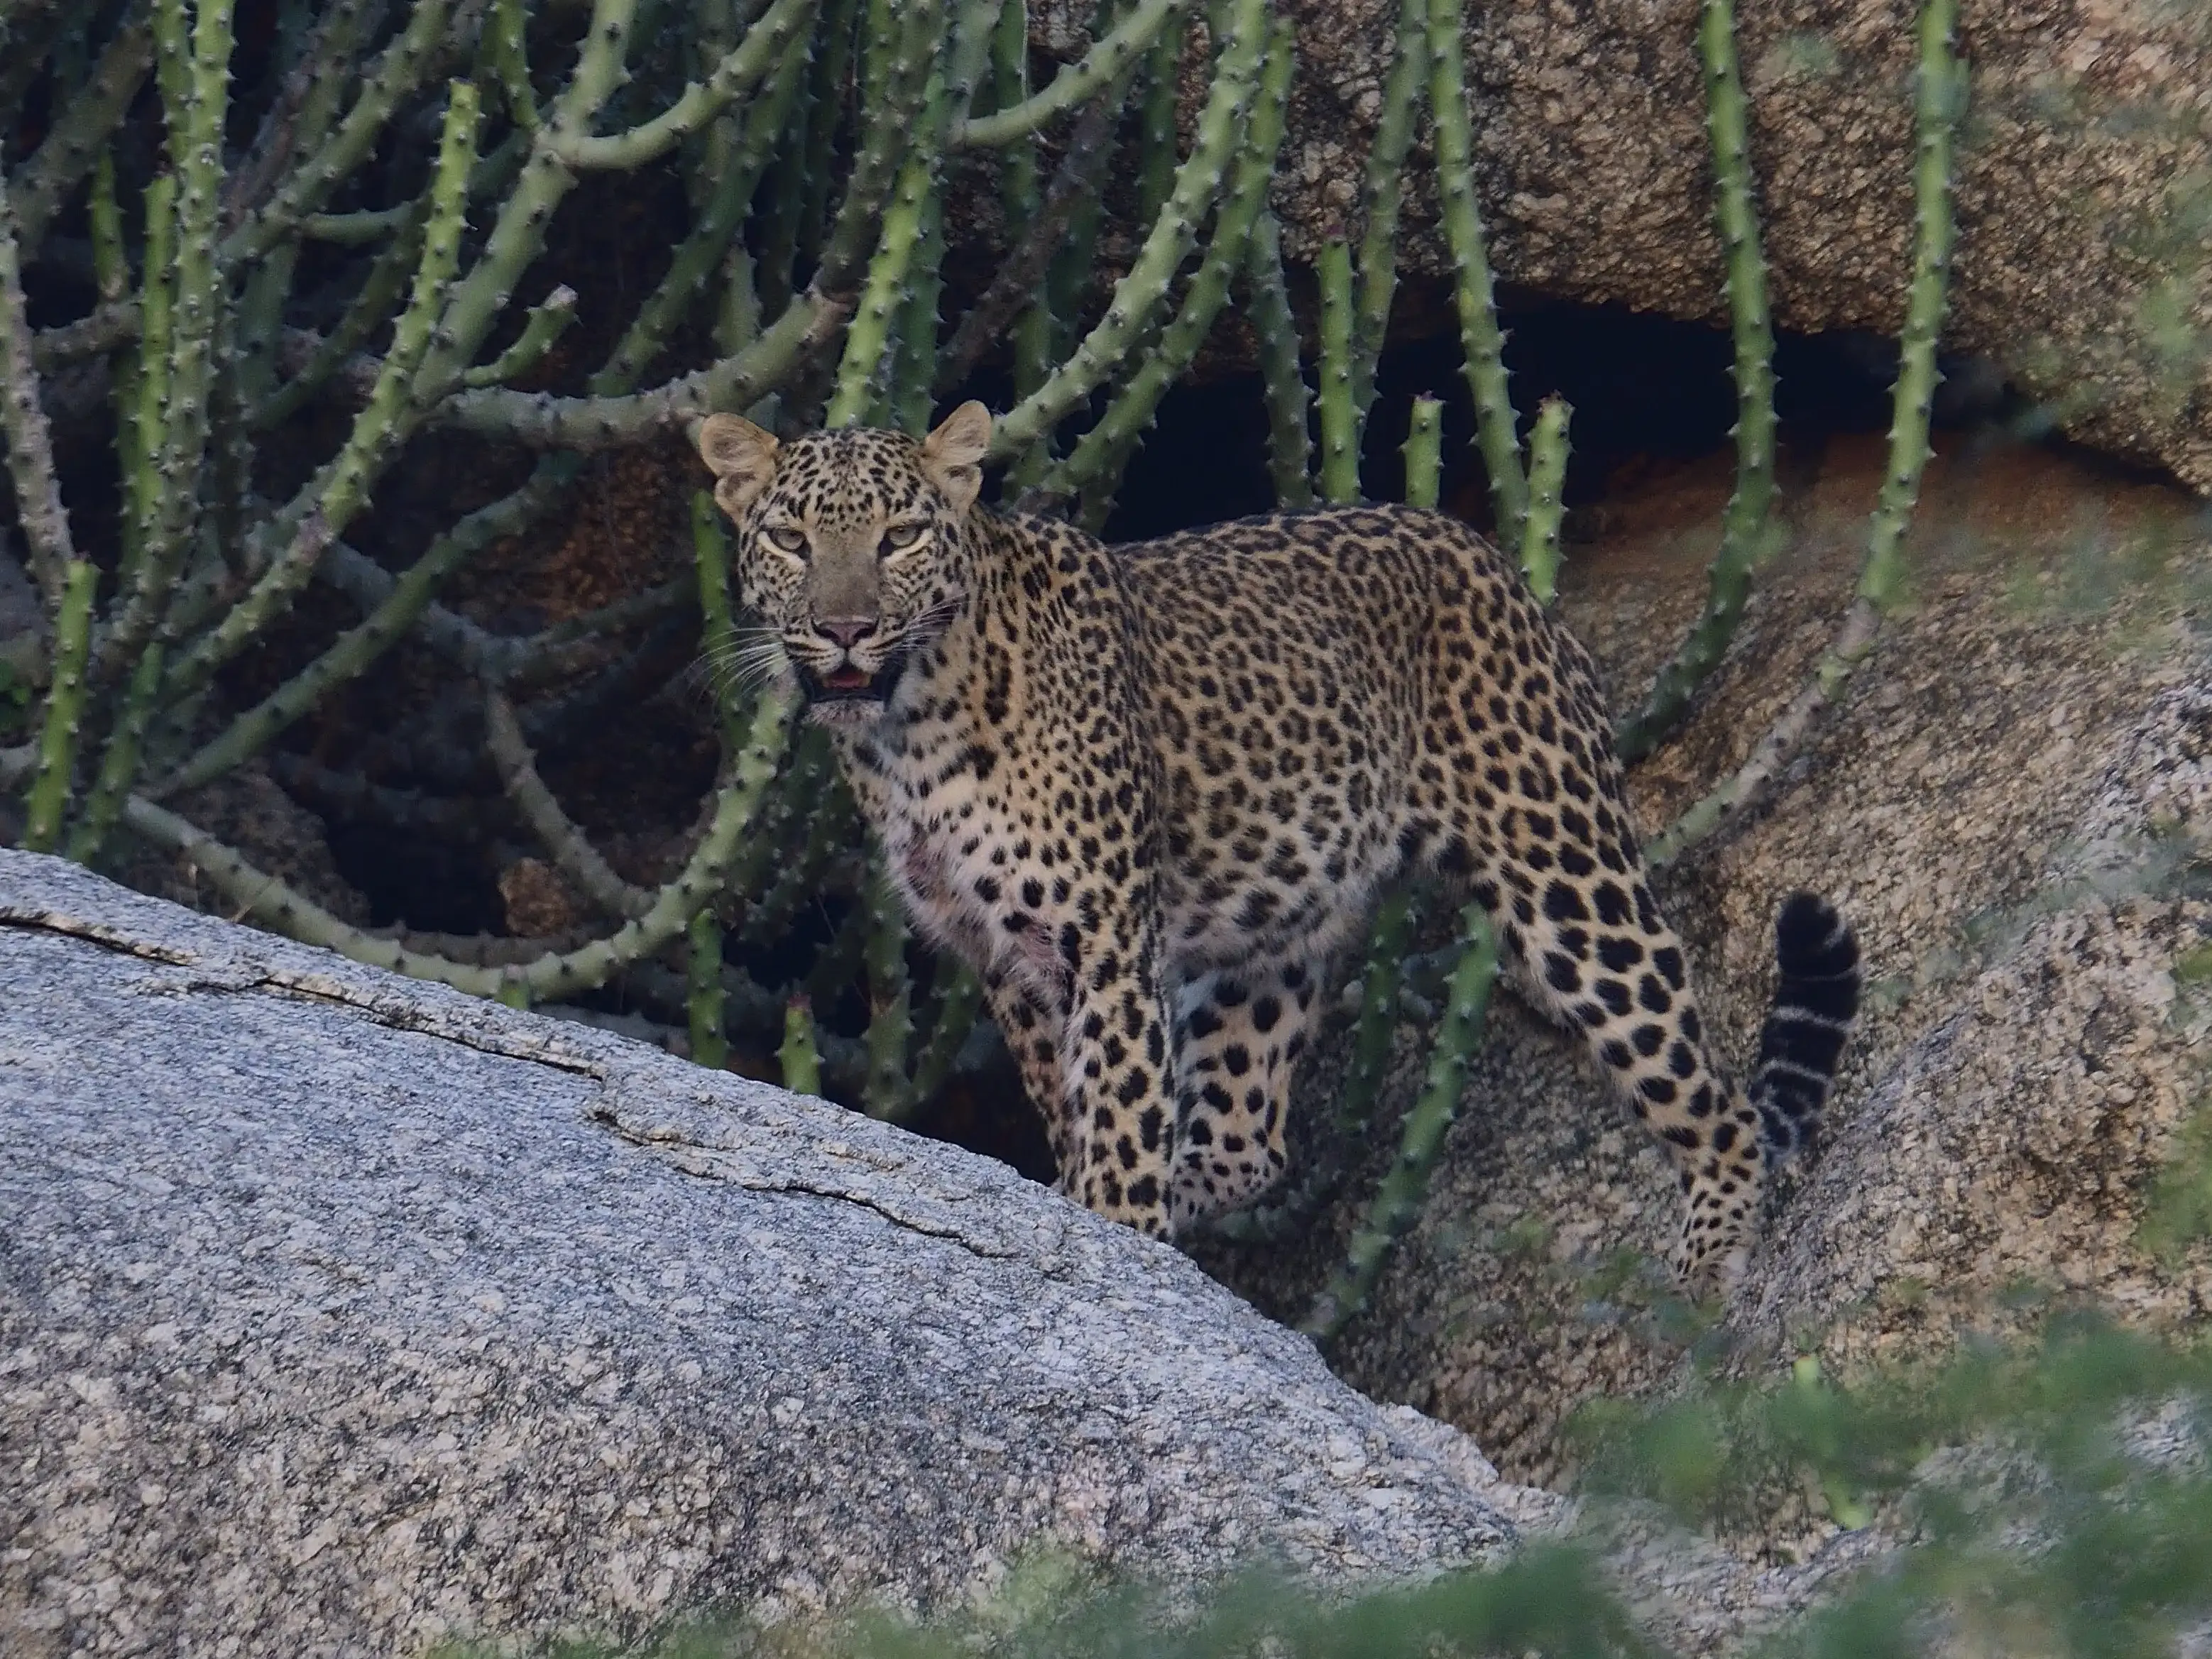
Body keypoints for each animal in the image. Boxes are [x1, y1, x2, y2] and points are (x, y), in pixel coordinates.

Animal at [695, 401, 1862, 1289]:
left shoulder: (1104, 942)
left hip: (1570, 879)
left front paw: (1114, 1247)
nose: (845, 629)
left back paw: (1704, 1281)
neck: (908, 739)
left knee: (1714, 1106)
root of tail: (1492, 557)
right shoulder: (1006, 959)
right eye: (792, 541)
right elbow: (1084, 1115)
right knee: (1247, 1141)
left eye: (900, 536)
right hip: (1273, 940)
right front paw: (1080, 1215)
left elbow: (1119, 1122)